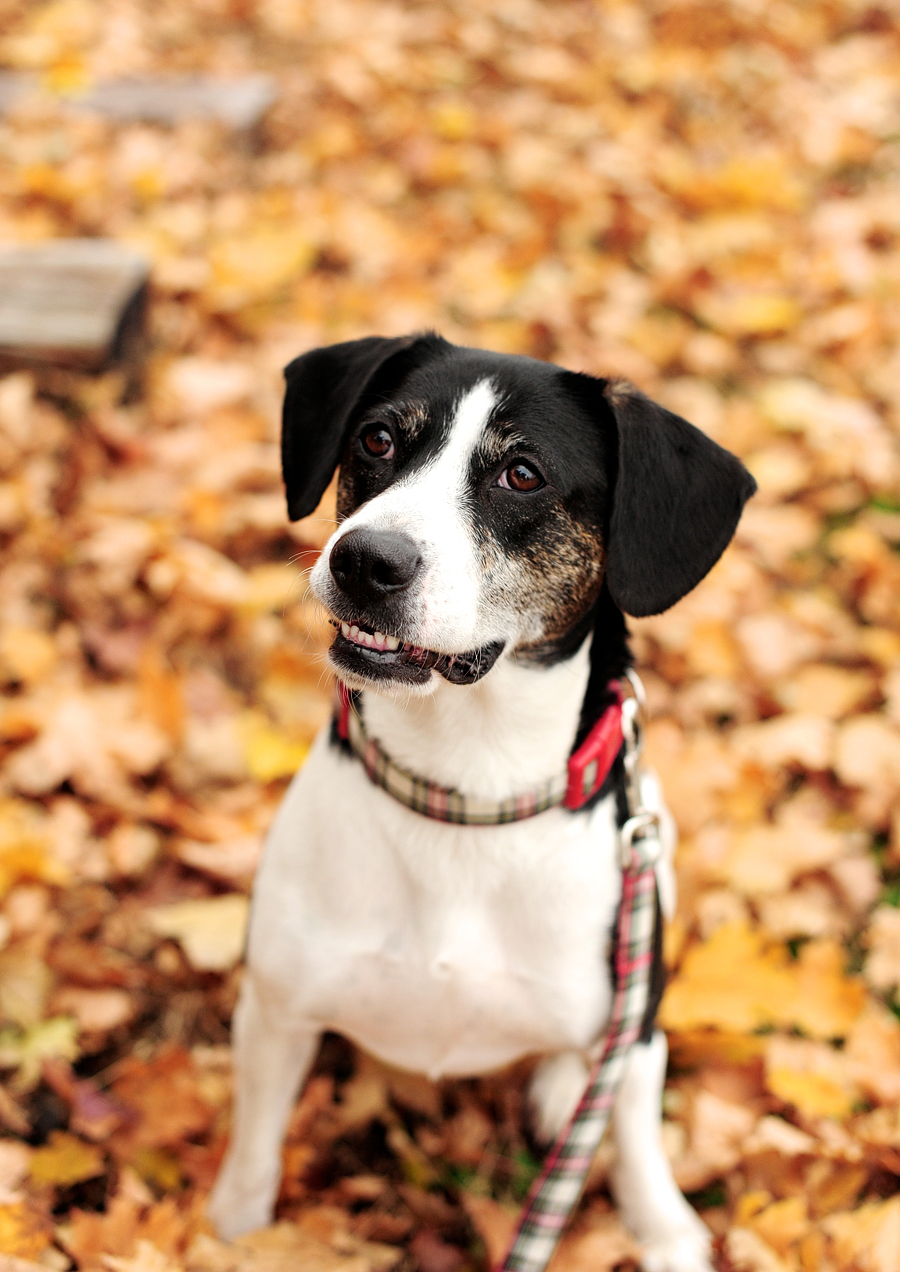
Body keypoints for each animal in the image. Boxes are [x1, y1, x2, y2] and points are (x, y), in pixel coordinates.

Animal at [207, 335, 757, 1272]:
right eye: (378, 440)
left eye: (522, 474)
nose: (365, 560)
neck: (466, 792)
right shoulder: (276, 1011)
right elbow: (252, 1152)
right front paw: (232, 1234)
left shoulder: (636, 1019)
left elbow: (635, 1132)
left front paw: (663, 1231)